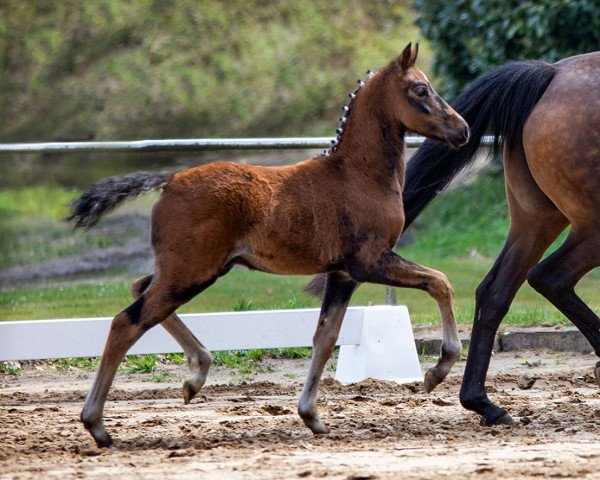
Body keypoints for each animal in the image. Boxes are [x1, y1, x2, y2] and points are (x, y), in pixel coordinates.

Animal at [67, 44, 468, 446]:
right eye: (420, 89)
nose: (462, 130)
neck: (357, 174)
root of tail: (170, 180)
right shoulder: (369, 263)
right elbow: (441, 282)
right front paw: (437, 372)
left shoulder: (342, 274)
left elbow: (325, 337)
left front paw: (311, 416)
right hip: (192, 271)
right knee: (127, 321)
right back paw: (97, 424)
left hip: (192, 268)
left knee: (140, 290)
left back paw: (195, 375)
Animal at [390, 53, 600, 428]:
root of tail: (553, 73)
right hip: (589, 224)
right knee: (550, 277)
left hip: (535, 221)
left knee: (496, 292)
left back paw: (482, 403)